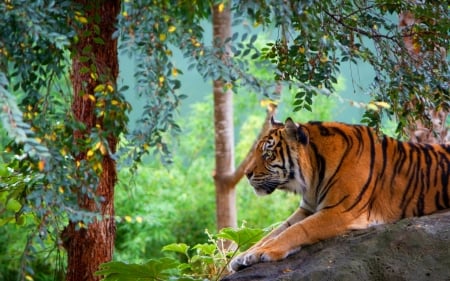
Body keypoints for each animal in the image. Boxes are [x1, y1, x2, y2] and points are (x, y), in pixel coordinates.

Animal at [232, 116, 450, 272]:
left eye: (267, 154)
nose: (246, 173)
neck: (314, 174)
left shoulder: (340, 211)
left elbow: (297, 230)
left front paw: (265, 252)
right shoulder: (307, 209)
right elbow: (275, 232)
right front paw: (244, 256)